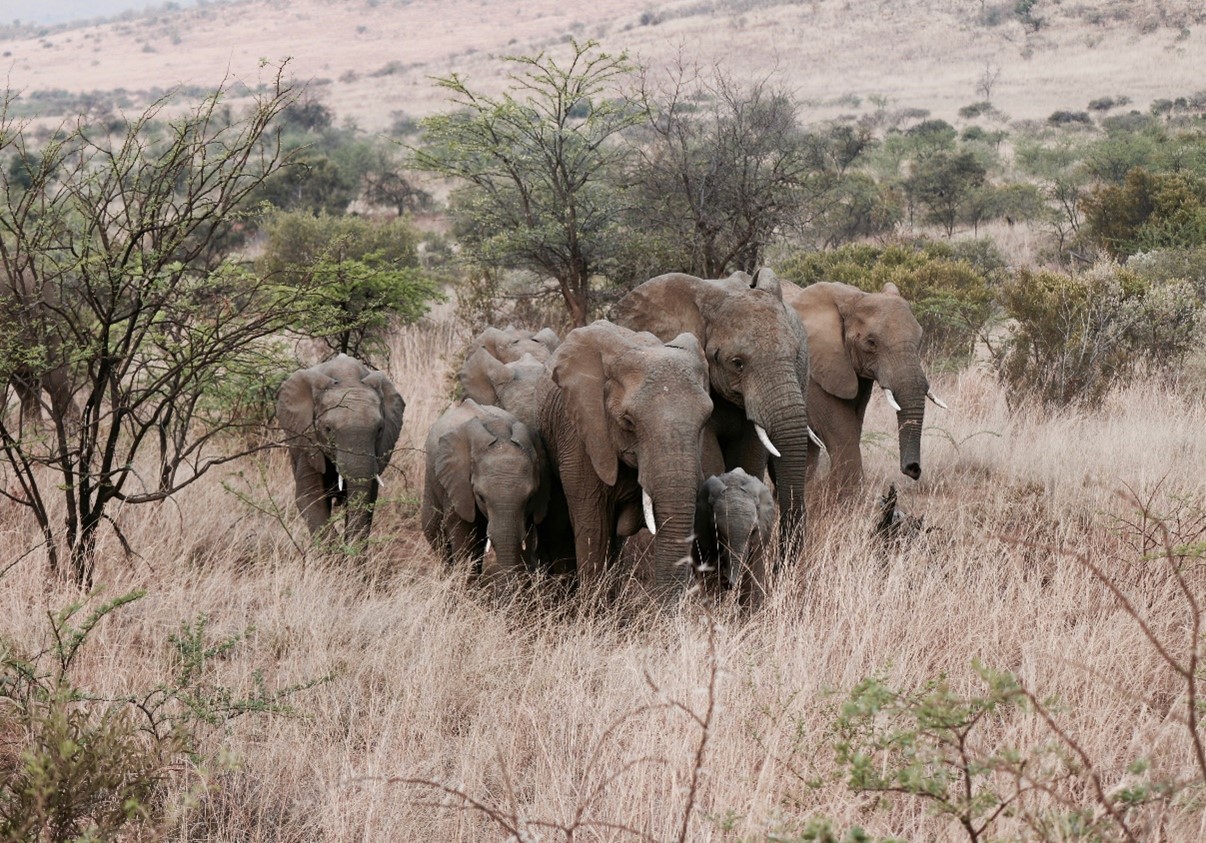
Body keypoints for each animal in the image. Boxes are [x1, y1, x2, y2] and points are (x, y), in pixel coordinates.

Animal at [276, 354, 406, 548]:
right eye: (328, 429)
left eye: (380, 430)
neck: (347, 377)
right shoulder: (308, 440)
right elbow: (310, 497)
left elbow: (368, 499)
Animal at [421, 399, 551, 580]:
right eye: (481, 497)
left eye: (530, 498)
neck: (500, 433)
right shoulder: (458, 484)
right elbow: (462, 534)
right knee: (435, 534)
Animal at [780, 280, 947, 495]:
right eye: (871, 342)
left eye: (919, 339)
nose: (913, 469)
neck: (853, 297)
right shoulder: (813, 370)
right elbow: (842, 430)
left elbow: (853, 426)